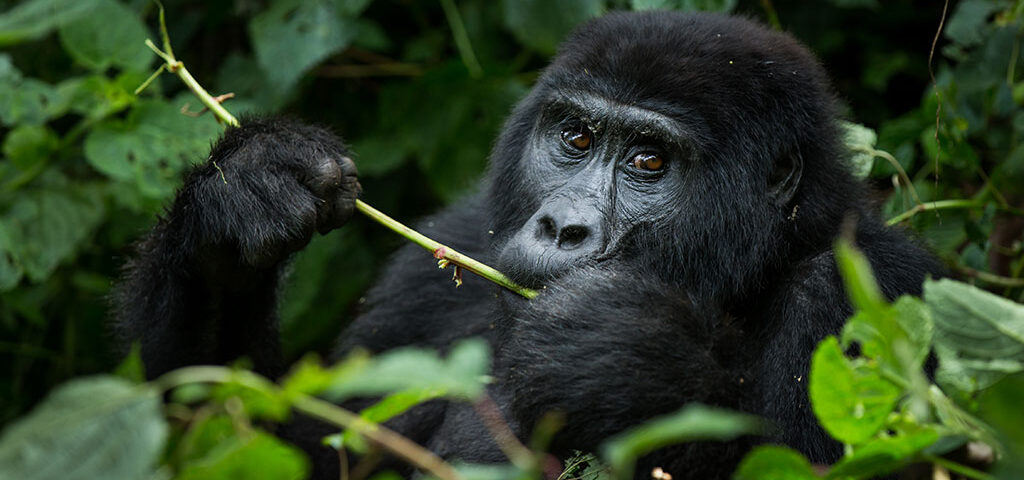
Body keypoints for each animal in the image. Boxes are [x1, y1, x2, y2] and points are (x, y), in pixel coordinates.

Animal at [112, 8, 942, 478]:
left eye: (650, 161)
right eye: (575, 137)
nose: (561, 227)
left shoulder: (867, 285)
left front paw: (623, 358)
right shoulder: (446, 250)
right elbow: (275, 444)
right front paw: (240, 199)